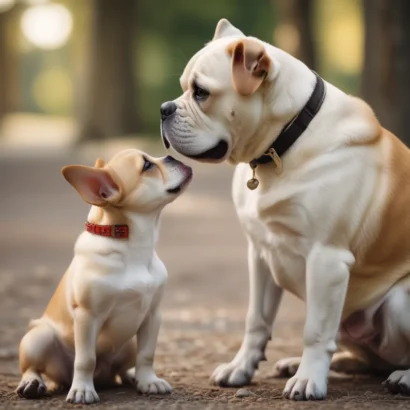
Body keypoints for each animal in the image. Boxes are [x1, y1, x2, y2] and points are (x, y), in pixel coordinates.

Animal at [16, 150, 193, 404]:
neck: (134, 244)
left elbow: (147, 354)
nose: (170, 156)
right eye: (147, 165)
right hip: (39, 338)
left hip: (129, 343)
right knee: (32, 367)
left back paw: (133, 377)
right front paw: (82, 389)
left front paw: (148, 381)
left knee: (124, 367)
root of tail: (104, 377)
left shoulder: (152, 315)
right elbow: (86, 359)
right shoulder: (88, 316)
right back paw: (32, 383)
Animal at [159, 19, 410, 400]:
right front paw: (241, 368)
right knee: (363, 358)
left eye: (201, 93)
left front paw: (308, 380)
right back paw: (301, 363)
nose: (164, 108)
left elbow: (315, 331)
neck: (285, 140)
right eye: (183, 89)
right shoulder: (261, 252)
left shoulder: (326, 259)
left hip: (398, 302)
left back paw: (400, 376)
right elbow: (256, 320)